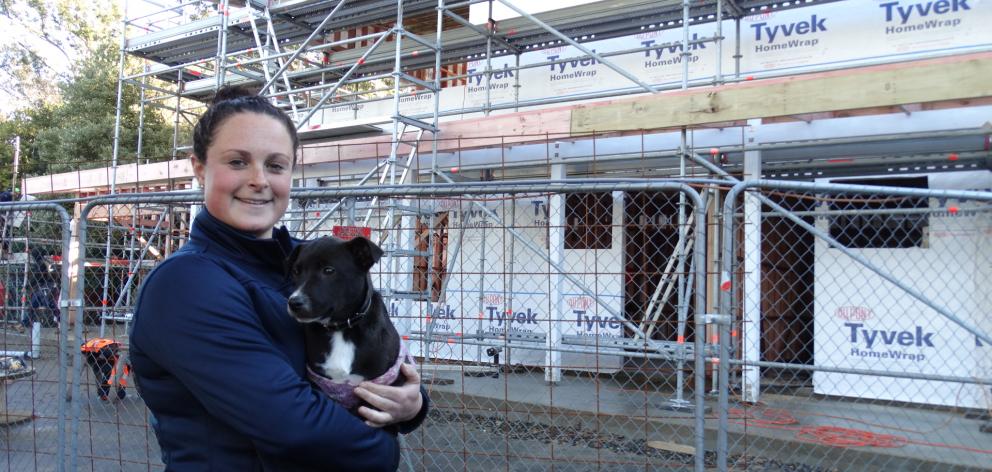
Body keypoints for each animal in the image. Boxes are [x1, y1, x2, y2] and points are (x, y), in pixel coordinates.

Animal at [284, 236, 408, 410]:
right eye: (296, 271)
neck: (340, 329)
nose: (294, 303)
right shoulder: (319, 381)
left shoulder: (378, 386)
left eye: (329, 270)